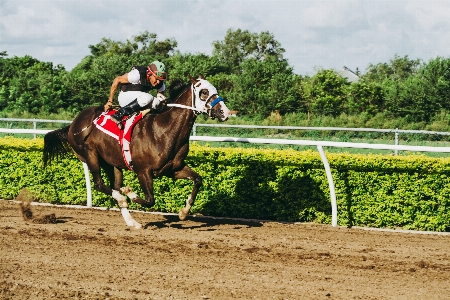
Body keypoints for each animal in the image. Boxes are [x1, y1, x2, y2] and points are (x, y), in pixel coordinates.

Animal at [43, 75, 230, 230]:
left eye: (215, 89)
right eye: (204, 92)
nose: (225, 112)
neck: (163, 130)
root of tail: (73, 124)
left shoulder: (173, 169)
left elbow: (198, 180)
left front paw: (183, 212)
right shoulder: (143, 171)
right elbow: (149, 200)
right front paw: (130, 193)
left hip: (112, 164)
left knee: (113, 185)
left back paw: (132, 221)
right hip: (90, 155)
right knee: (99, 184)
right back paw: (122, 198)